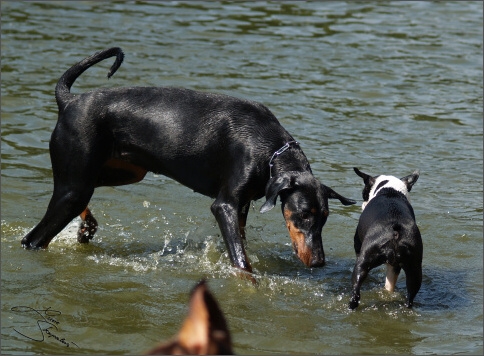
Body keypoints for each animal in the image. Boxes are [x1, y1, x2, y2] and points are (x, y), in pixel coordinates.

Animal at [348, 167, 424, 308]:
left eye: (364, 193)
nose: (363, 202)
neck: (391, 191)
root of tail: (395, 229)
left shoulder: (358, 246)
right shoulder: (394, 265)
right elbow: (390, 283)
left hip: (364, 260)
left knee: (356, 292)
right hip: (414, 267)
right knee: (411, 294)